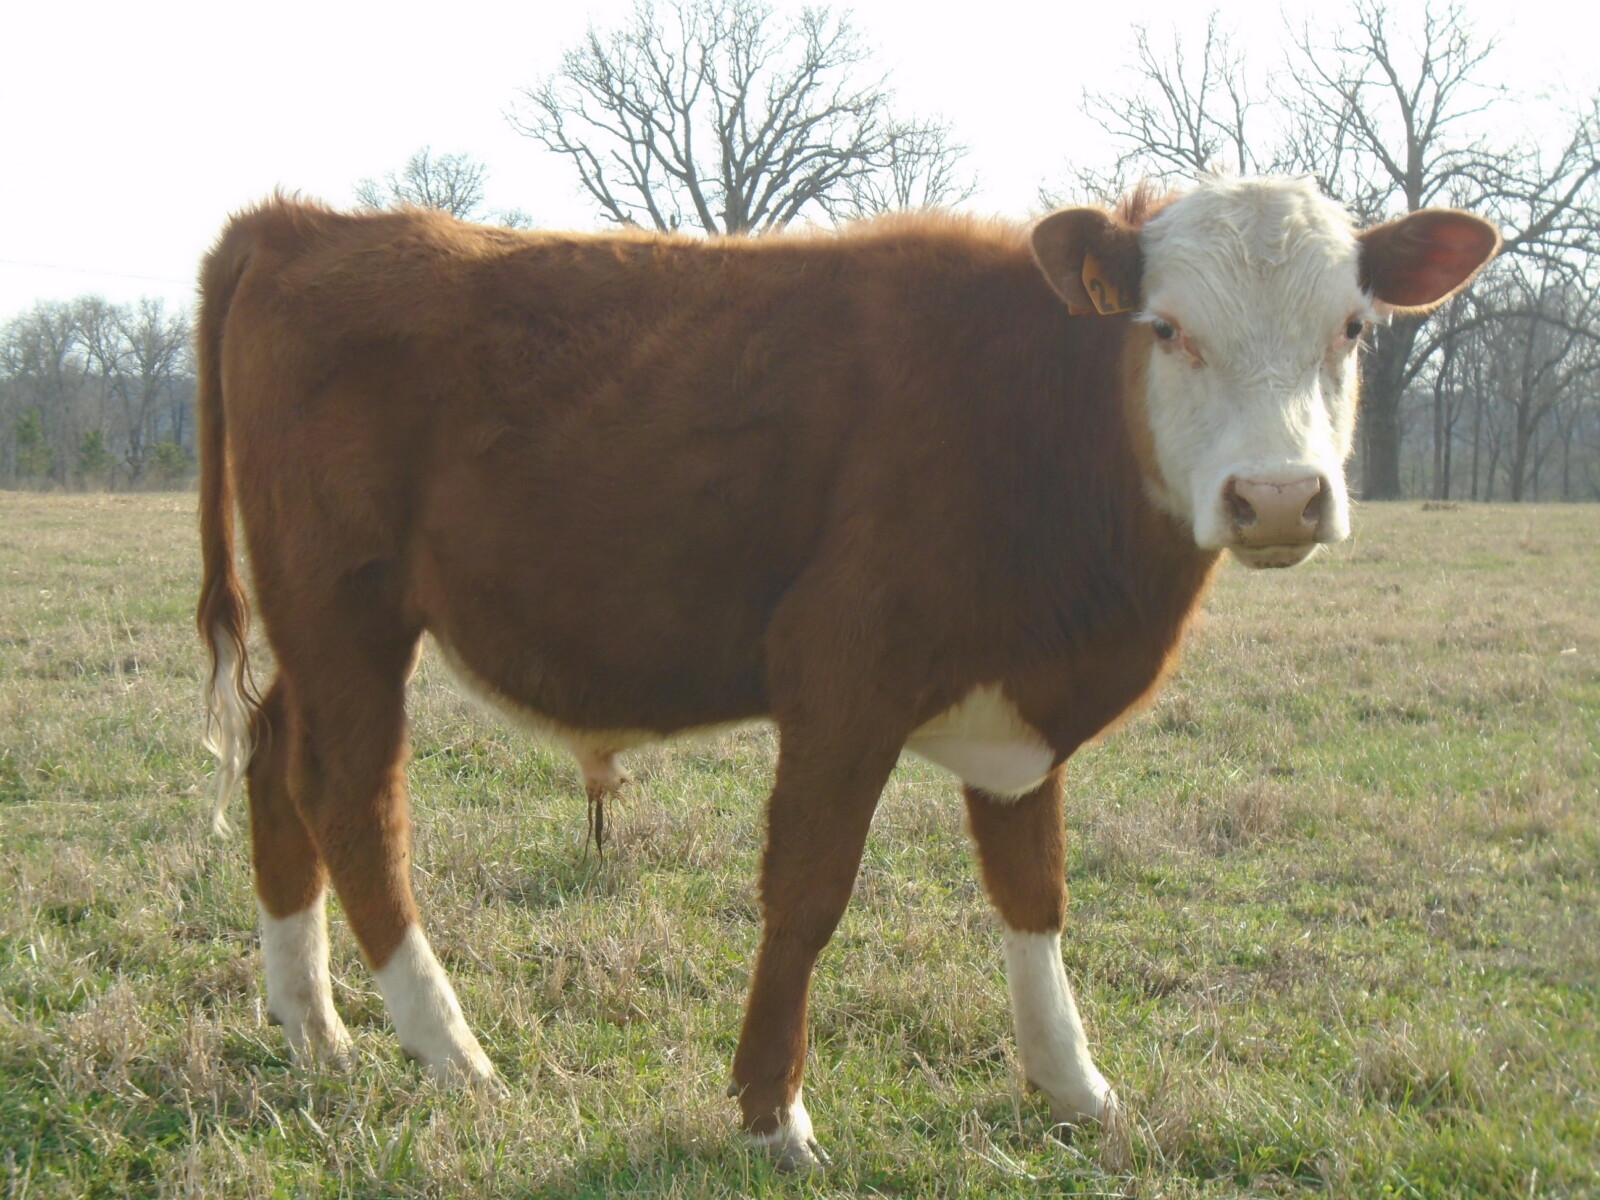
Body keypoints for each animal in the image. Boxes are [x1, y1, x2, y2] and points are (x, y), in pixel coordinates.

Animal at [196, 176, 1497, 1169]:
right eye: (1166, 327)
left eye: (1353, 329)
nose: (1277, 497)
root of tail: (302, 223)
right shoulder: (842, 674)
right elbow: (809, 894)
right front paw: (772, 1115)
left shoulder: (1020, 718)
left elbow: (1035, 891)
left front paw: (1073, 1085)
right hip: (349, 609)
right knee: (352, 799)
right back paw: (451, 1051)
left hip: (319, 629)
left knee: (274, 760)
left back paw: (312, 1026)